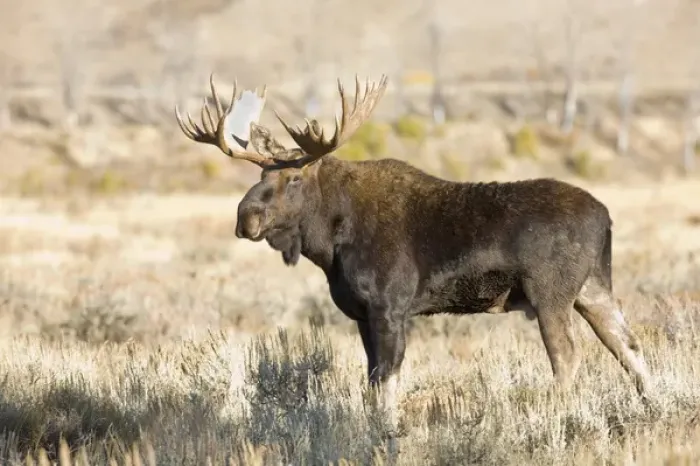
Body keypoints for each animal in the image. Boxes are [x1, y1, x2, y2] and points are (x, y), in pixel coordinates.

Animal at [174, 74, 652, 434]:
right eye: (258, 175)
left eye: (294, 178)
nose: (246, 217)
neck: (329, 244)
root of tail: (606, 217)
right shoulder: (362, 314)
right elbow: (371, 381)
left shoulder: (390, 306)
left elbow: (387, 380)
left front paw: (386, 432)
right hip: (593, 289)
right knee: (629, 345)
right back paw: (654, 405)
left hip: (550, 294)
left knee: (569, 356)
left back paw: (558, 416)